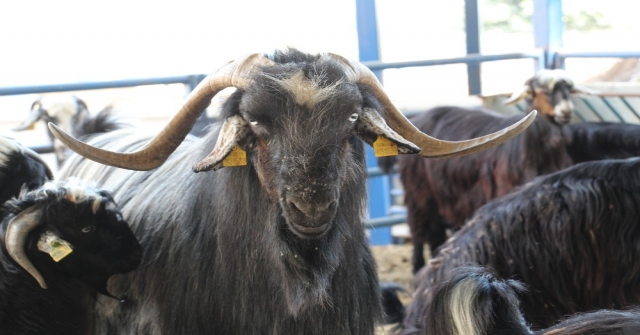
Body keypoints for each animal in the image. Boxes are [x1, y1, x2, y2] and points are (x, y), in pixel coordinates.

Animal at [384, 69, 596, 274]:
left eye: (568, 90)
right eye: (541, 91)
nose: (566, 111)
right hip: (419, 192)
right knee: (420, 229)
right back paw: (417, 266)